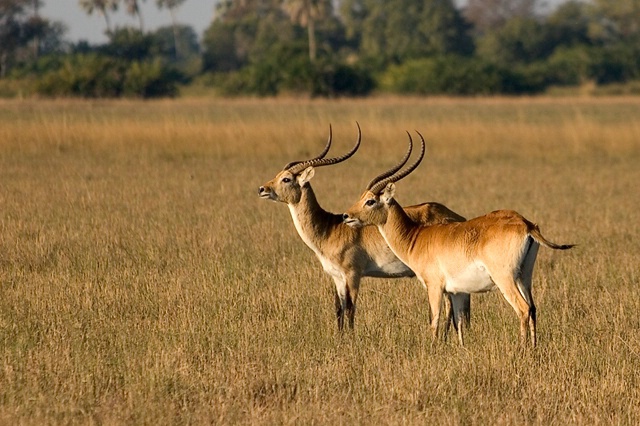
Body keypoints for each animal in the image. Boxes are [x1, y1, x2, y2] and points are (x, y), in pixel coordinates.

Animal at [258, 125, 472, 332]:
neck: (329, 228)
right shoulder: (336, 277)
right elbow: (339, 310)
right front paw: (339, 338)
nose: (262, 189)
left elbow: (351, 309)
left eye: (286, 179)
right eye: (278, 175)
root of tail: (459, 218)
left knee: (450, 308)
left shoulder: (353, 274)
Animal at [344, 132, 576, 346]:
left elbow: (435, 321)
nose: (346, 216)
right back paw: (534, 348)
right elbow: (459, 322)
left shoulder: (435, 287)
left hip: (505, 278)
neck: (416, 238)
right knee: (533, 308)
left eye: (370, 201)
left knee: (523, 309)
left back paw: (522, 350)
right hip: (525, 276)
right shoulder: (457, 291)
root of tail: (526, 224)